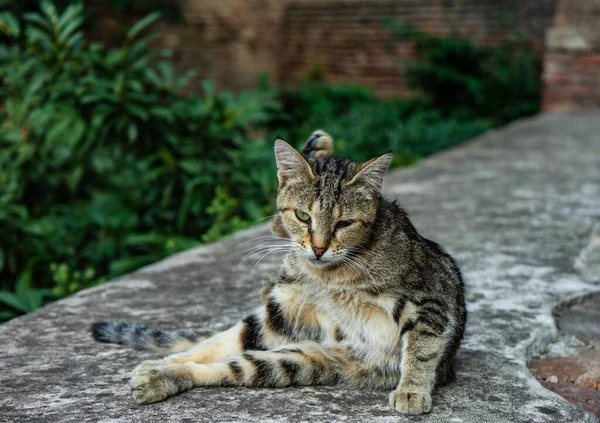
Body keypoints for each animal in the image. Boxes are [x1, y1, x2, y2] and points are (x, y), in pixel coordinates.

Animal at [91, 131, 468, 416]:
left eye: (344, 223)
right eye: (303, 216)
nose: (318, 248)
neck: (331, 276)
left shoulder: (431, 300)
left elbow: (421, 348)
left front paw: (412, 390)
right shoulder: (281, 311)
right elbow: (215, 343)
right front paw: (166, 360)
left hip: (298, 361)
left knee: (230, 365)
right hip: (287, 347)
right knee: (224, 352)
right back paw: (161, 372)